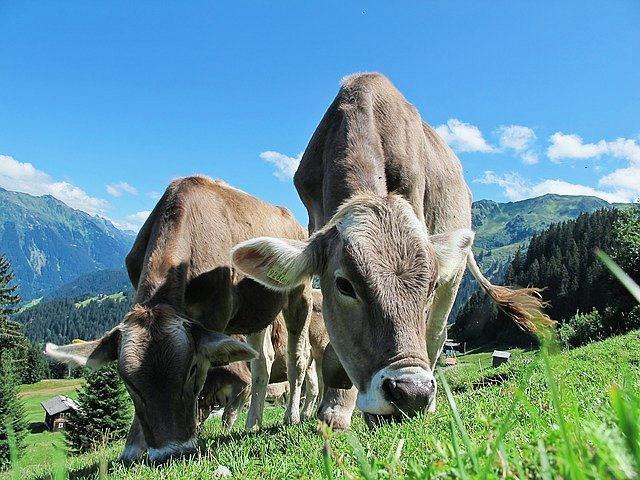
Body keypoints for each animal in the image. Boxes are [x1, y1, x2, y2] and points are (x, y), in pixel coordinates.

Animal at [43, 176, 314, 462]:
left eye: (192, 369)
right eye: (128, 382)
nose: (170, 453)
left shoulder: (214, 316)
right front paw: (133, 447)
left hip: (300, 294)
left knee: (298, 357)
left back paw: (292, 416)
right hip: (255, 313)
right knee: (262, 361)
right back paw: (253, 423)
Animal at [232, 74, 552, 428]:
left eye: (429, 286)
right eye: (344, 285)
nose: (412, 393)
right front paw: (334, 409)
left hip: (454, 276)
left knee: (437, 333)